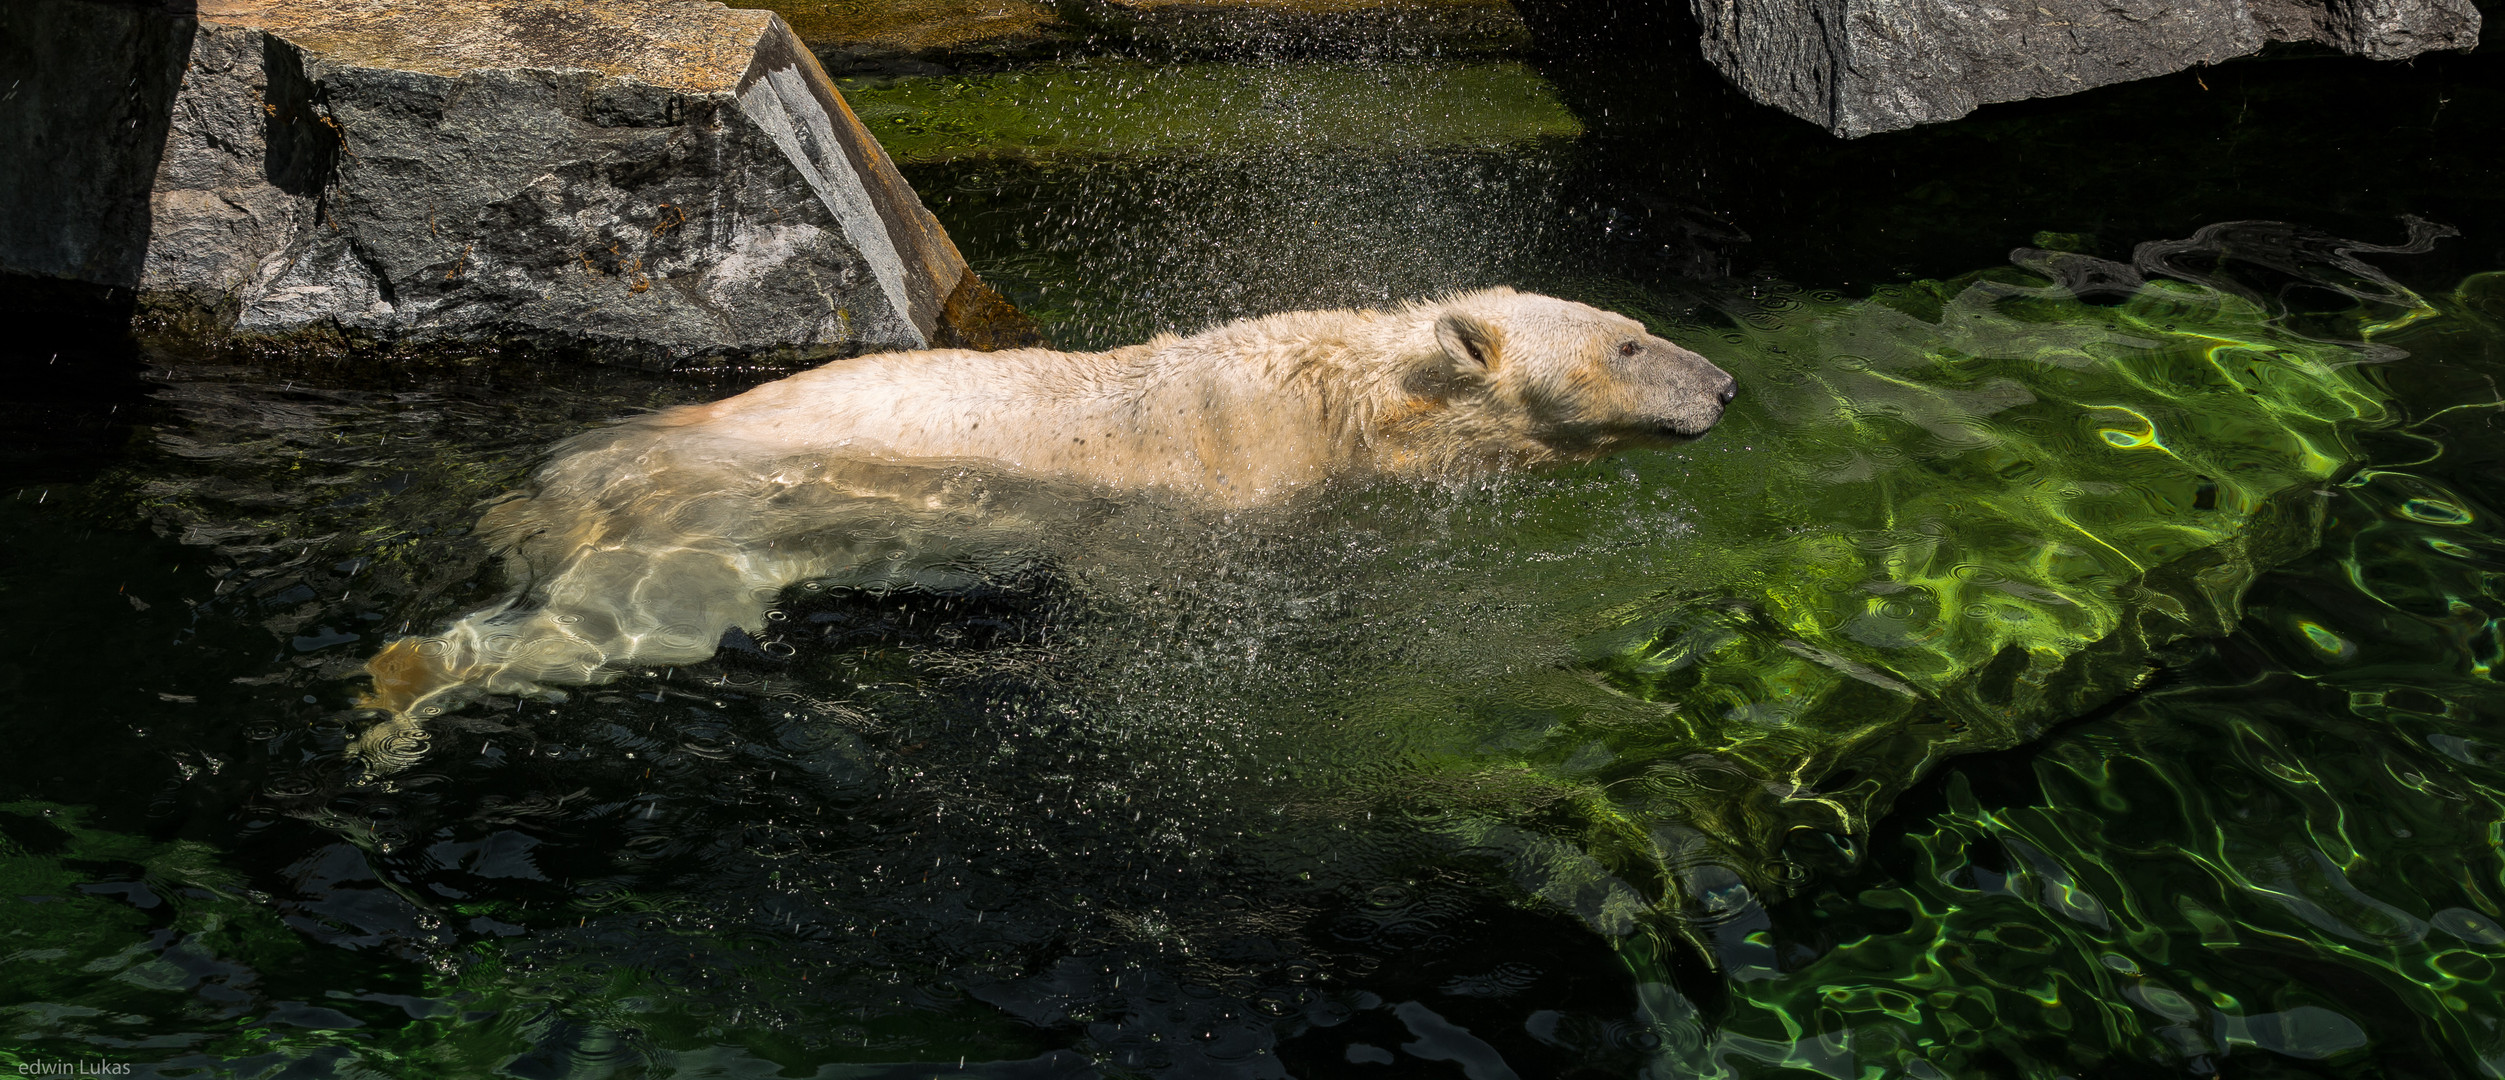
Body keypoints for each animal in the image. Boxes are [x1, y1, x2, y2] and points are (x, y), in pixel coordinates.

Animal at [353, 288, 1733, 771]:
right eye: (1626, 343)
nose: (1722, 385)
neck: (1323, 403)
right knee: (620, 629)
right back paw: (401, 693)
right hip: (696, 530)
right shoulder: (1194, 503)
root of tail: (564, 477)